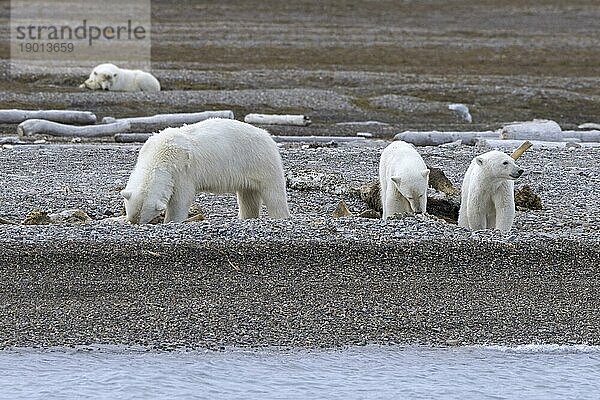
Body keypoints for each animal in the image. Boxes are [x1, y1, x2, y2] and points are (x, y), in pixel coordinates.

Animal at [120, 119, 290, 225]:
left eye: (143, 219)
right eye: (131, 217)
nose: (135, 223)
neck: (159, 155)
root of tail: (268, 136)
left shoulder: (182, 171)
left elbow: (181, 199)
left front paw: (171, 221)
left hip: (261, 161)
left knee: (274, 194)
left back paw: (280, 216)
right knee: (248, 196)